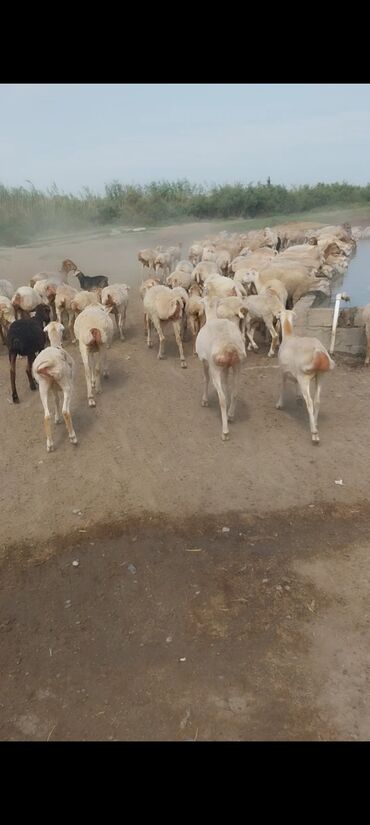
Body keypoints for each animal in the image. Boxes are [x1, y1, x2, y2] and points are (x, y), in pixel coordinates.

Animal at [32, 320, 78, 450]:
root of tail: (50, 364)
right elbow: (59, 402)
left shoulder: (53, 388)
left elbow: (56, 400)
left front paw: (57, 418)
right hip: (66, 384)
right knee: (65, 411)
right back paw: (73, 437)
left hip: (43, 386)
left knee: (47, 416)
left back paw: (49, 444)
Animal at [197, 300, 246, 440]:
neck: (212, 317)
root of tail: (229, 346)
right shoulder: (226, 368)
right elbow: (226, 384)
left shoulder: (204, 361)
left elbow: (205, 379)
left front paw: (204, 400)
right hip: (237, 365)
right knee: (235, 392)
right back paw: (230, 415)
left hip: (215, 368)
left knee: (222, 399)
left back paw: (225, 431)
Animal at [278, 308, 336, 440]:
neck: (288, 335)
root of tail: (318, 351)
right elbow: (295, 383)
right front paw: (298, 396)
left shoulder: (283, 371)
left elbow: (282, 386)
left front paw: (279, 404)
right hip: (321, 375)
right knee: (317, 401)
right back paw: (315, 423)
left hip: (304, 377)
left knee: (309, 402)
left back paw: (314, 433)